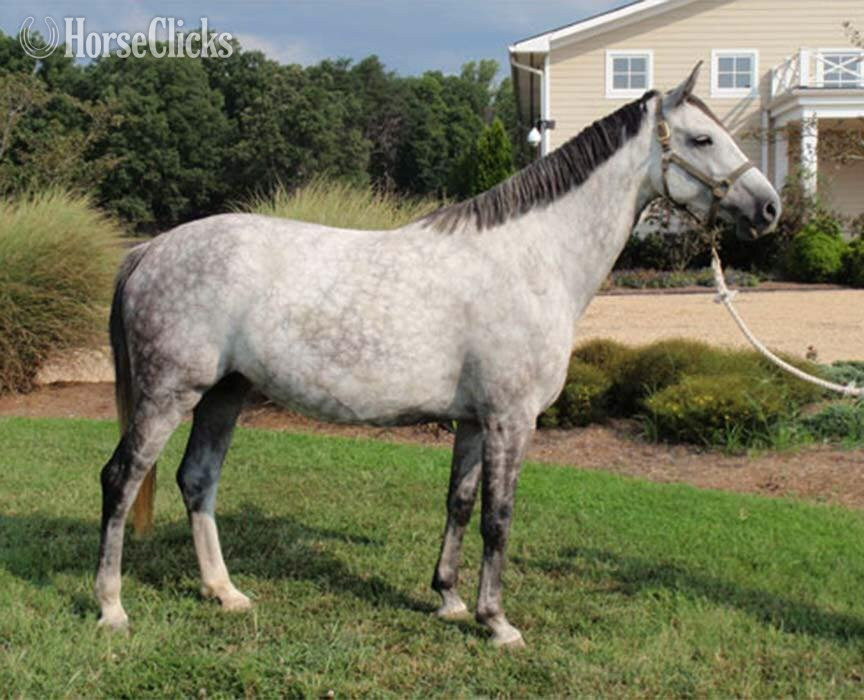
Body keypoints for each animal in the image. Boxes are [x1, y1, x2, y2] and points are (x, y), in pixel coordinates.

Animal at [95, 63, 780, 648]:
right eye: (701, 138)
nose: (770, 207)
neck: (532, 258)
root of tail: (150, 250)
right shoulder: (511, 419)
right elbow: (499, 517)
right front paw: (497, 622)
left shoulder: (475, 421)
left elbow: (459, 502)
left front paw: (449, 600)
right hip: (168, 393)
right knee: (122, 479)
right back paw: (111, 607)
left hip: (224, 393)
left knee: (197, 479)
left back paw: (224, 592)